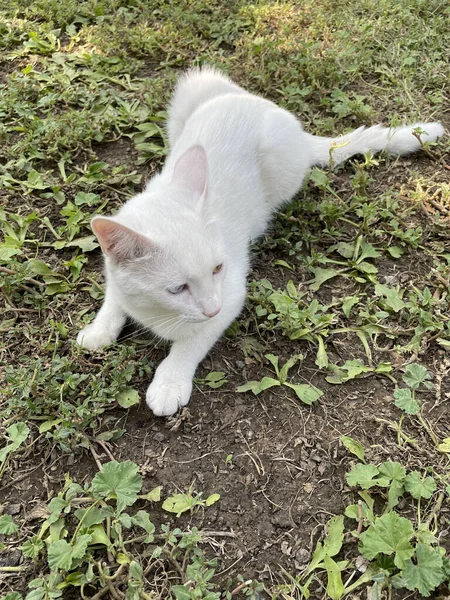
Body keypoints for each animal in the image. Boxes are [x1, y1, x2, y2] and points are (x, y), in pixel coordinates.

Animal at [76, 65, 442, 412]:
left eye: (217, 269)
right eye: (177, 288)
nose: (211, 307)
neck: (155, 312)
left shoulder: (231, 294)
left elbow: (192, 342)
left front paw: (170, 381)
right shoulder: (116, 273)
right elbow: (113, 299)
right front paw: (99, 330)